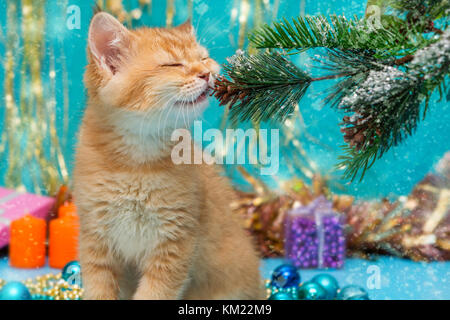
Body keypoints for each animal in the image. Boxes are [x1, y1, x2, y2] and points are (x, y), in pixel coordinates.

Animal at [73, 11, 264, 298]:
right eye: (172, 64)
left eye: (203, 58)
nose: (207, 73)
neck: (135, 164)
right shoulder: (95, 238)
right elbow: (99, 290)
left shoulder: (175, 242)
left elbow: (153, 293)